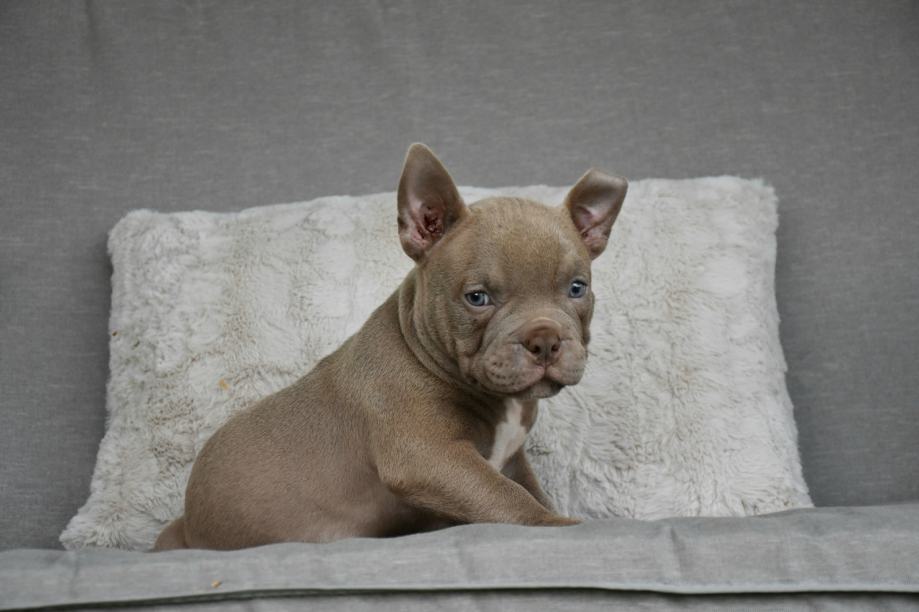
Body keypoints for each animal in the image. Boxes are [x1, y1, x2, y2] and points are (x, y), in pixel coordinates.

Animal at [153, 143, 627, 550]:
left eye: (577, 288)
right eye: (477, 298)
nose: (545, 340)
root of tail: (188, 526)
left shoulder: (511, 458)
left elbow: (527, 489)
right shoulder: (425, 456)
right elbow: (507, 498)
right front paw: (561, 526)